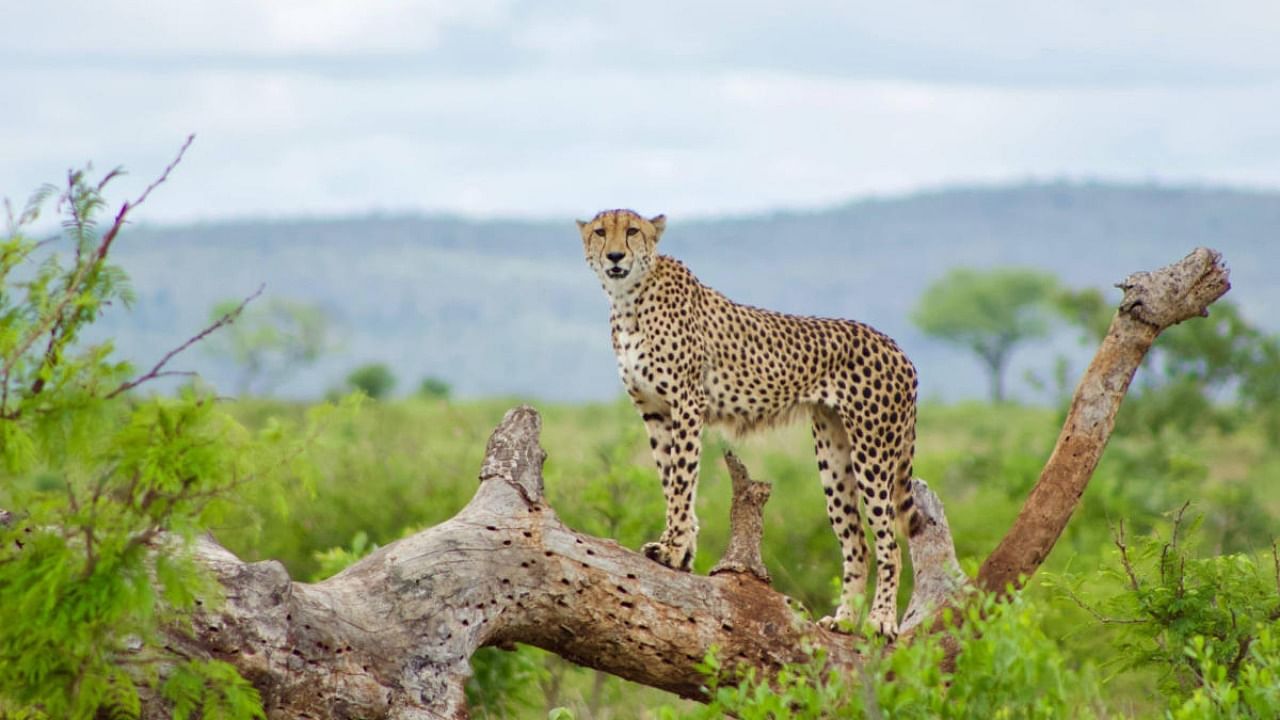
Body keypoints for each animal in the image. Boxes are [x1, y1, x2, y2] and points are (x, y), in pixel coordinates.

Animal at [581, 207, 921, 632]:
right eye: (599, 232)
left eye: (630, 231)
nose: (614, 256)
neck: (629, 299)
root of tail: (898, 349)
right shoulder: (655, 412)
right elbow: (670, 481)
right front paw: (683, 552)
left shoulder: (687, 404)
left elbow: (681, 482)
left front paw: (673, 550)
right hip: (834, 454)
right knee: (857, 542)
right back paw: (843, 621)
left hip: (873, 452)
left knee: (889, 542)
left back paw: (881, 622)